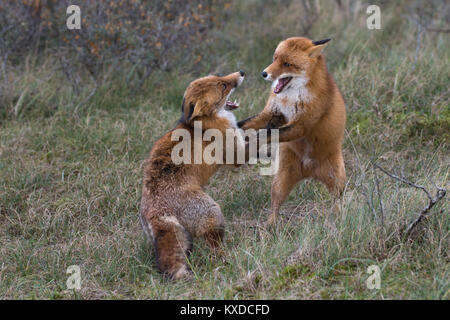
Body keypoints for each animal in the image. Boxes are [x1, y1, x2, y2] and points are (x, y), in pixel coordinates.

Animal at [141, 70, 246, 280]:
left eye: (220, 76)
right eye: (223, 85)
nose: (241, 72)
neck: (204, 123)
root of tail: (156, 210)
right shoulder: (236, 155)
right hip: (214, 214)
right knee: (215, 246)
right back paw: (226, 258)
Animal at [239, 37, 348, 226]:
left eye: (287, 64)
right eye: (275, 59)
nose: (264, 73)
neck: (291, 98)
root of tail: (310, 171)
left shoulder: (300, 126)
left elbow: (265, 134)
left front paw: (249, 145)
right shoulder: (271, 114)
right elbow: (242, 124)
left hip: (338, 181)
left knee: (337, 202)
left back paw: (338, 221)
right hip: (280, 183)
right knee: (275, 205)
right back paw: (269, 226)